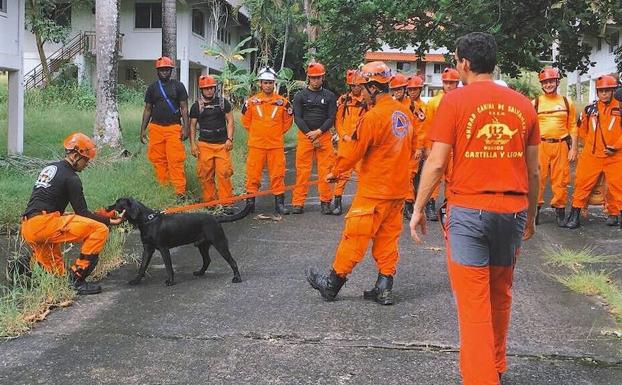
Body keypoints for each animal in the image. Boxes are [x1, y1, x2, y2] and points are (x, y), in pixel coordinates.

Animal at [107, 198, 251, 284]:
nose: (107, 207)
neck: (148, 220)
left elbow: (168, 266)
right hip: (202, 246)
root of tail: (216, 218)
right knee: (207, 260)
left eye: (118, 203)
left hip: (219, 243)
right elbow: (142, 266)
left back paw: (237, 278)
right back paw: (200, 273)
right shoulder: (148, 249)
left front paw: (170, 281)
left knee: (232, 261)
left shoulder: (163, 248)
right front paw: (136, 280)